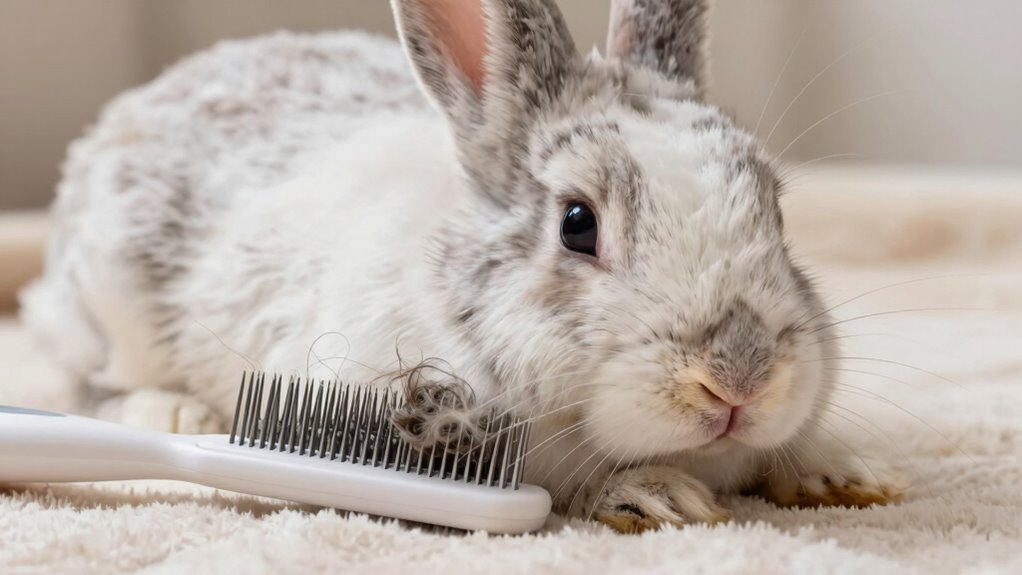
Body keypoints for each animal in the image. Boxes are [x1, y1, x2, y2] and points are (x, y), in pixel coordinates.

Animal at [20, 0, 908, 532]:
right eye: (578, 225)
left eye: (776, 208)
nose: (740, 377)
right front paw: (658, 496)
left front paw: (847, 477)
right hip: (112, 304)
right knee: (82, 378)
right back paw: (174, 412)